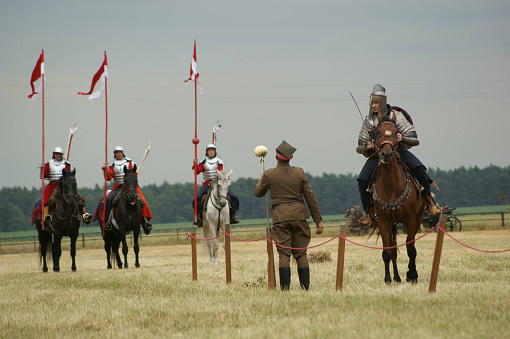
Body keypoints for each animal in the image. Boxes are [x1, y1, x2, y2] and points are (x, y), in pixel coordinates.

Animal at [372, 118, 424, 286]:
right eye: (378, 132)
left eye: (396, 132)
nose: (387, 154)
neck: (391, 187)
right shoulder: (383, 221)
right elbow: (388, 251)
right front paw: (388, 278)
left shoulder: (411, 220)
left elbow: (411, 248)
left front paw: (412, 275)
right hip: (392, 224)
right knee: (393, 249)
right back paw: (396, 277)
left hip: (418, 218)